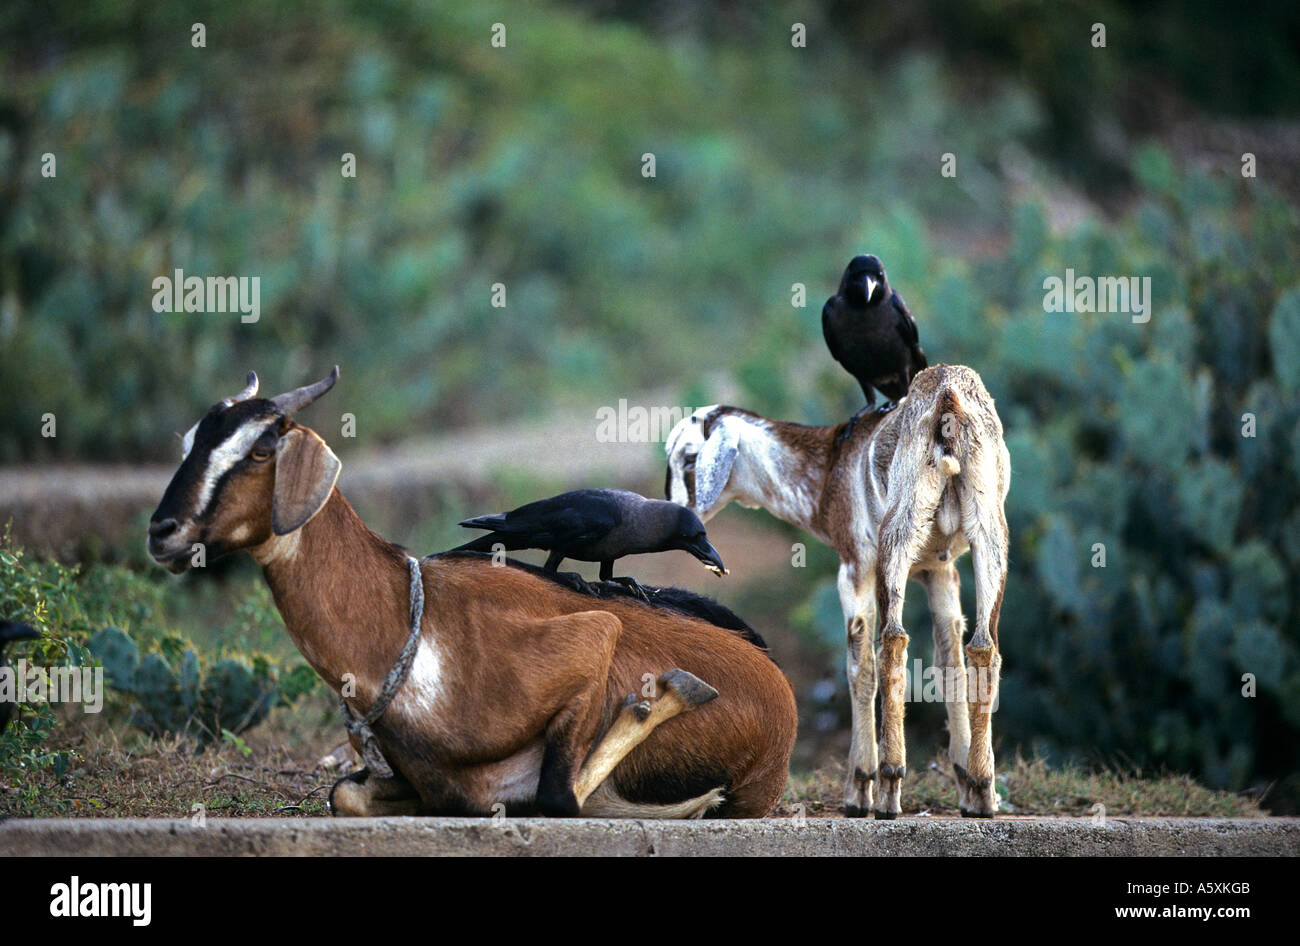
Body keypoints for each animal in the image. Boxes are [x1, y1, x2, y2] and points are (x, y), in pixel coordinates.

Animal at [147, 369, 795, 821]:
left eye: (260, 449)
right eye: (190, 444)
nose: (163, 530)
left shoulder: (594, 632)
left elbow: (557, 794)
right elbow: (347, 794)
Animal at [665, 366, 1008, 816]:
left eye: (689, 458)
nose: (677, 513)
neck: (830, 468)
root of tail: (947, 395)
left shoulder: (854, 566)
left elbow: (859, 667)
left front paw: (859, 788)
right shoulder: (940, 570)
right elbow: (949, 662)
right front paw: (967, 785)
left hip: (896, 534)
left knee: (892, 642)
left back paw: (888, 789)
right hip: (990, 532)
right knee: (984, 647)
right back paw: (984, 791)